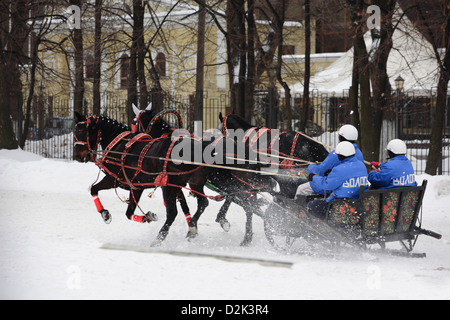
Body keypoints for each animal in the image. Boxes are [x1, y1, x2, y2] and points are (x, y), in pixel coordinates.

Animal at [75, 112, 211, 245]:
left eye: (80, 131)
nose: (77, 156)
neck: (119, 145)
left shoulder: (114, 179)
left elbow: (94, 189)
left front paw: (105, 214)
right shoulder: (136, 187)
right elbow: (128, 213)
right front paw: (147, 216)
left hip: (168, 187)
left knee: (172, 213)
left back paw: (159, 238)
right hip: (193, 183)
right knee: (203, 202)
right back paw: (191, 229)